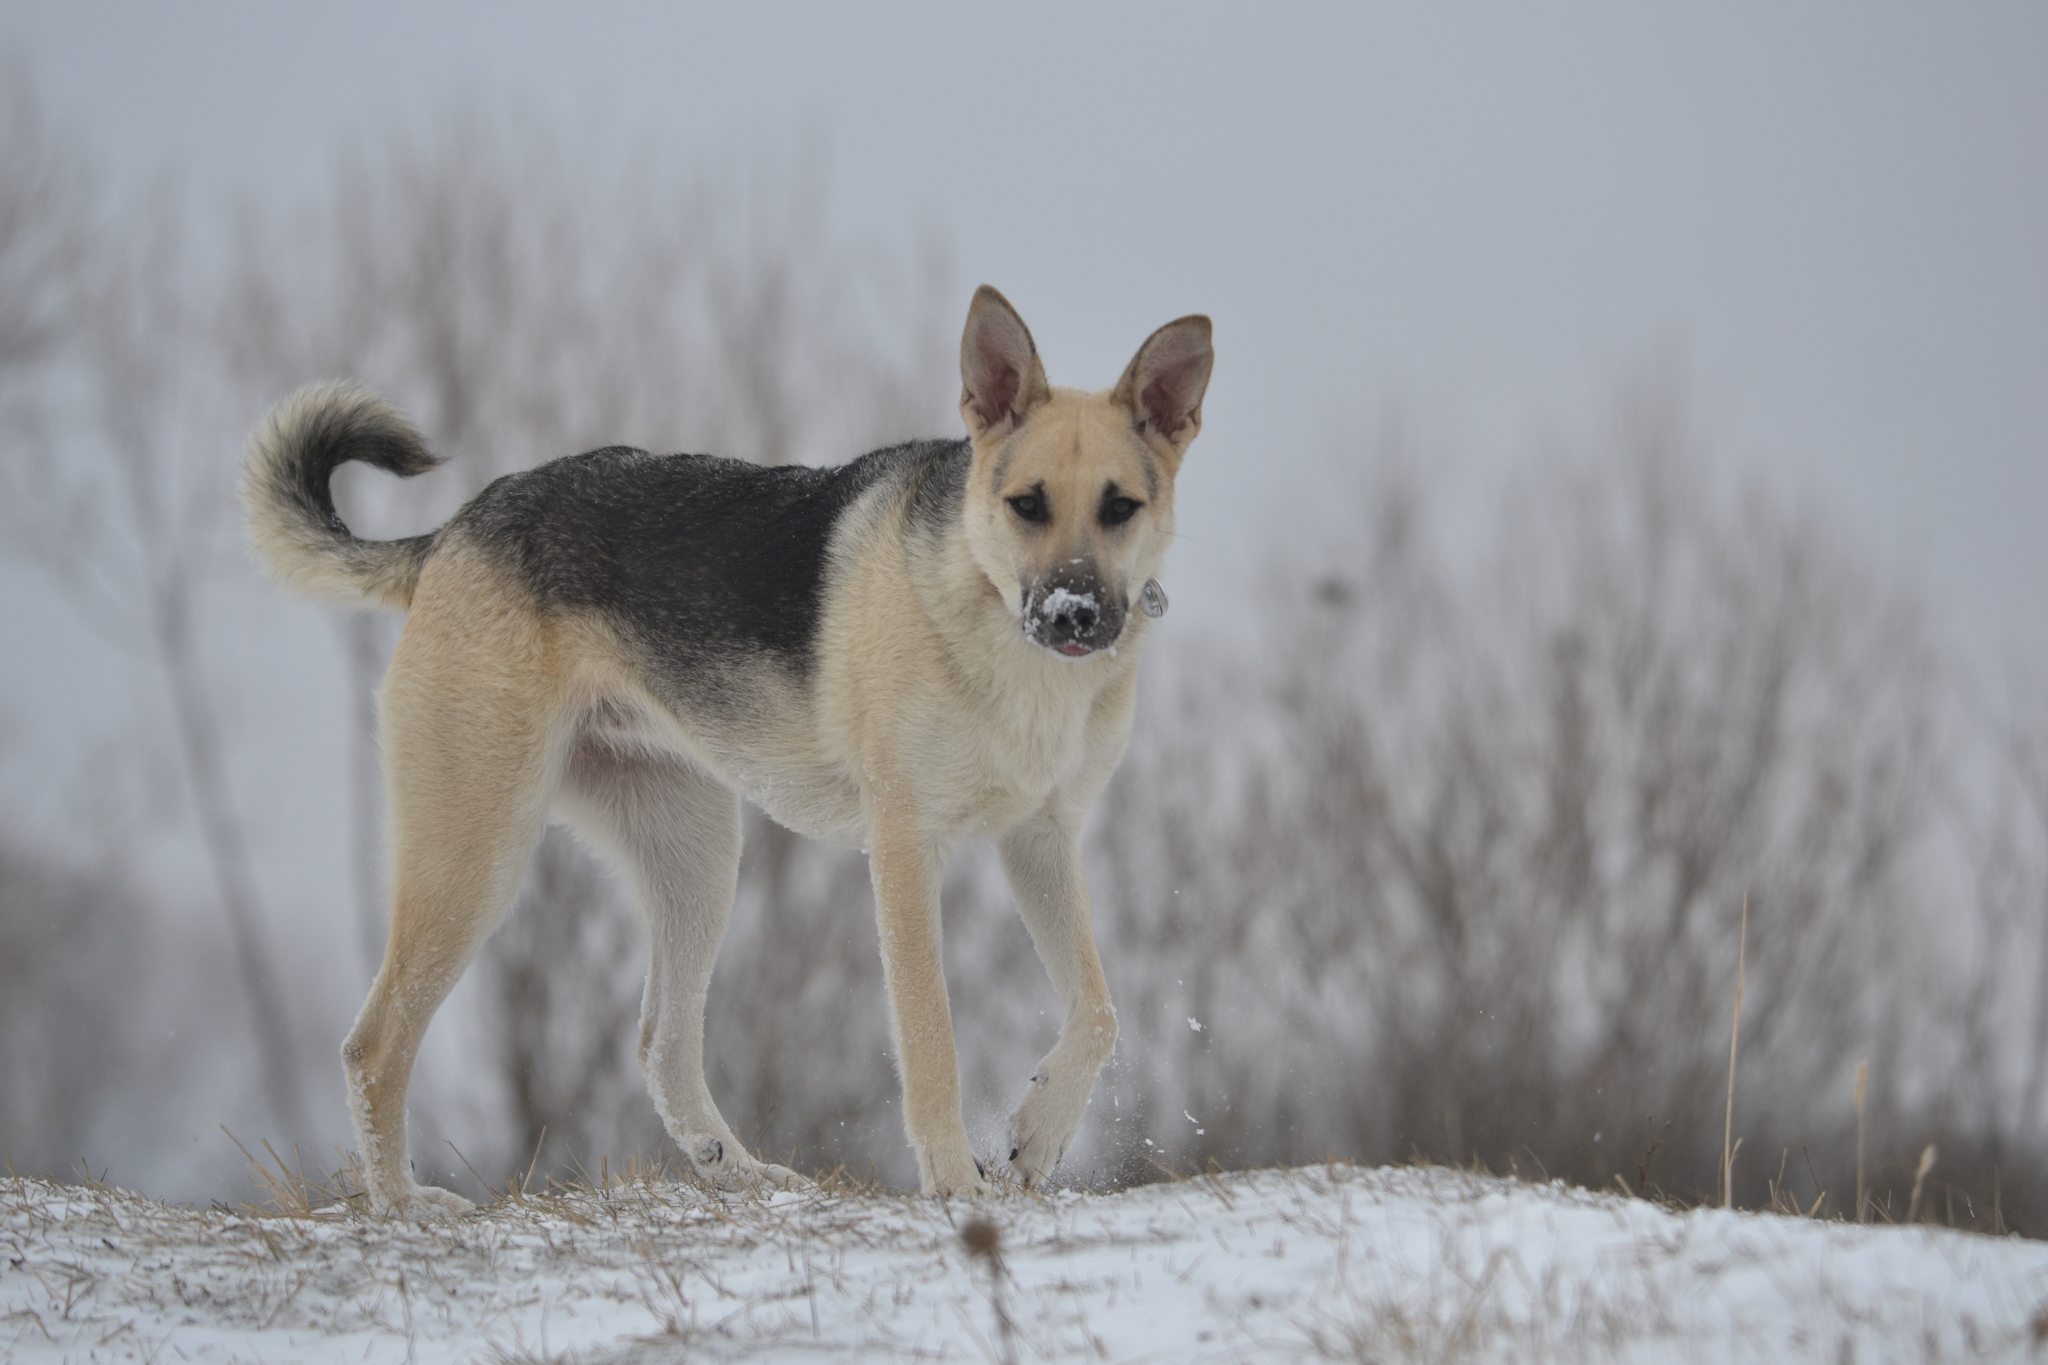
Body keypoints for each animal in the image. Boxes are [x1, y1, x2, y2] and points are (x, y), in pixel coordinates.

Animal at [239, 288, 1204, 1219]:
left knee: (660, 1045)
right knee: (373, 1045)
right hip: (479, 849)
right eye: (1027, 504)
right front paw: (955, 1184)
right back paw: (403, 1202)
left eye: (1120, 506)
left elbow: (1099, 1010)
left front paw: (1037, 1134)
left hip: (695, 852)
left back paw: (743, 1175)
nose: (1075, 614)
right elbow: (931, 1034)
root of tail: (451, 533)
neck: (988, 604)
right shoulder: (905, 849)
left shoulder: (1041, 841)